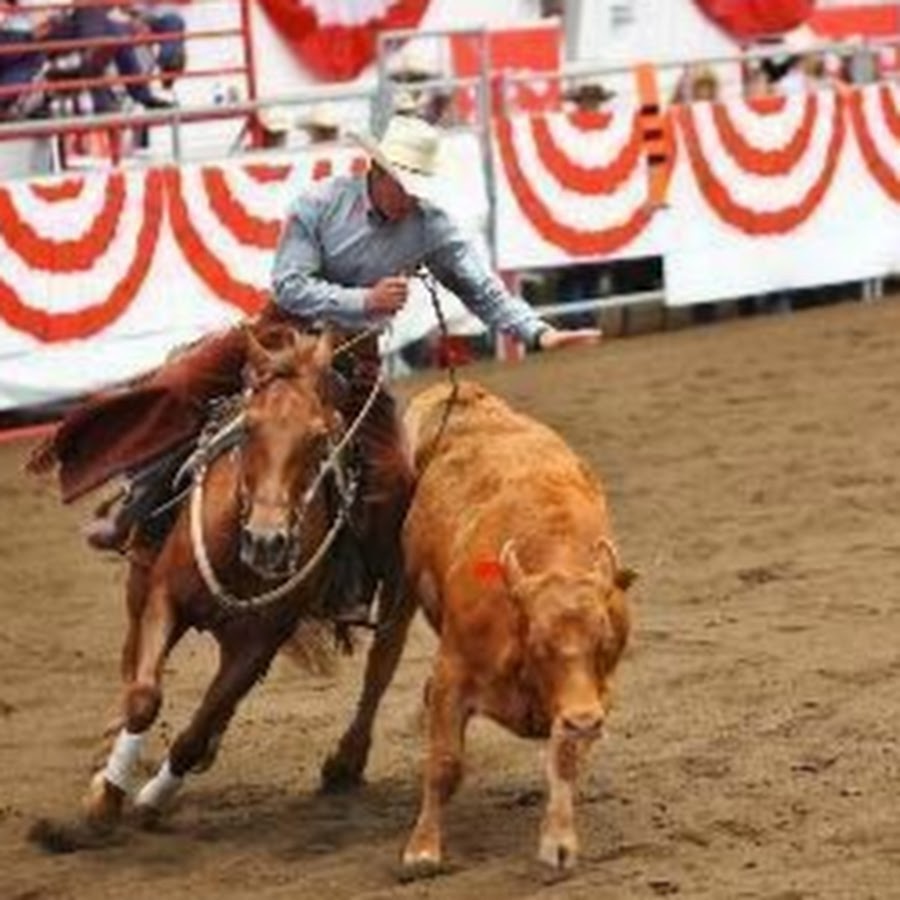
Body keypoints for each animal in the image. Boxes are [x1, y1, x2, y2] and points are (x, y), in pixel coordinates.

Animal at [80, 326, 414, 832]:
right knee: (131, 659)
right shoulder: (164, 597)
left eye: (319, 437)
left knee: (379, 672)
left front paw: (153, 798)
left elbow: (196, 731)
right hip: (139, 575)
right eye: (250, 428)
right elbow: (144, 695)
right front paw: (106, 796)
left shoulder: (258, 643)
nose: (266, 541)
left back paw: (344, 764)